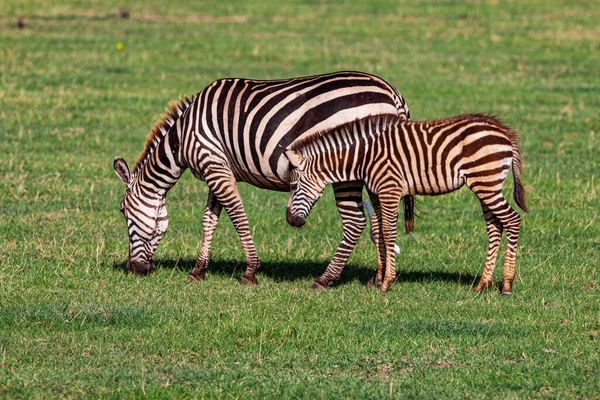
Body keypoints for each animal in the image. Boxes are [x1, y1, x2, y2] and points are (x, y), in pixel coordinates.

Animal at [113, 69, 412, 288]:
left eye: (123, 212)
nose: (133, 270)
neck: (184, 136)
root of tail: (391, 92)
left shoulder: (214, 165)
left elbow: (237, 216)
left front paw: (250, 272)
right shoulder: (218, 168)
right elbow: (209, 220)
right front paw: (198, 270)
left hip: (346, 171)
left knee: (355, 221)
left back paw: (325, 279)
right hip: (378, 167)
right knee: (381, 220)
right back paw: (377, 279)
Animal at [284, 113, 528, 294]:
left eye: (293, 185)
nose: (290, 220)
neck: (364, 156)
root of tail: (504, 132)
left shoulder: (389, 189)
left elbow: (389, 231)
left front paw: (386, 283)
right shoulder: (377, 192)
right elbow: (378, 230)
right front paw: (379, 278)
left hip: (486, 181)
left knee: (513, 220)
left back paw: (507, 285)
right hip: (485, 185)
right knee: (495, 227)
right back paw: (482, 284)